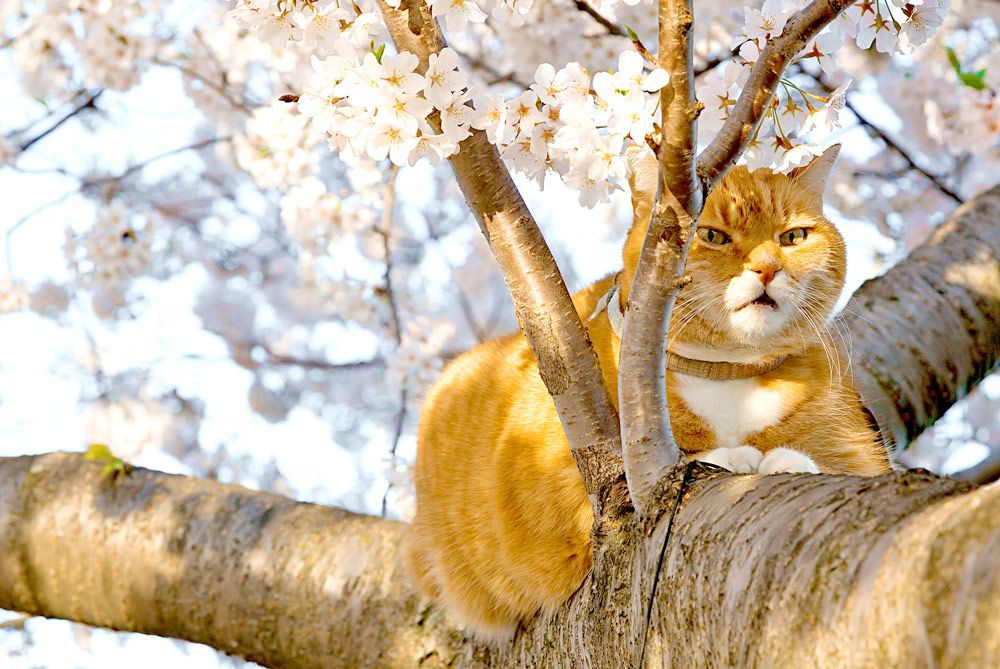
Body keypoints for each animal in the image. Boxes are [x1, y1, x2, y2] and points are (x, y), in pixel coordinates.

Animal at [406, 145, 892, 636]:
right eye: (713, 236)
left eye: (792, 237)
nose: (768, 269)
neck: (724, 372)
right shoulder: (572, 486)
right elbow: (690, 460)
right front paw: (734, 456)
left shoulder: (863, 455)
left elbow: (842, 468)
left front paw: (787, 460)